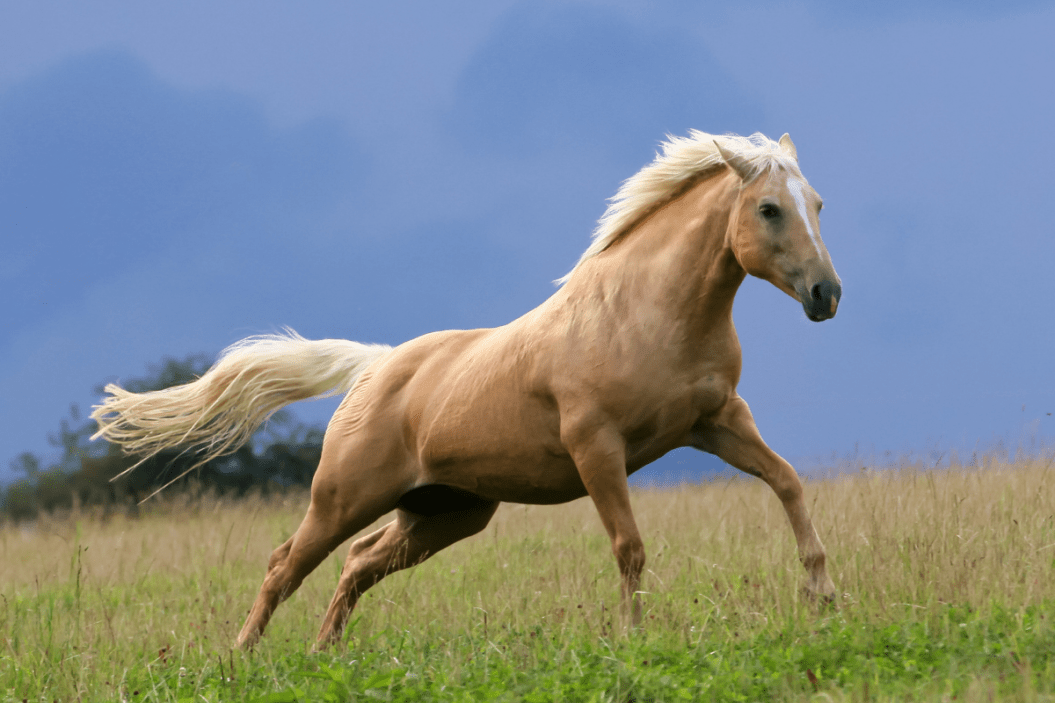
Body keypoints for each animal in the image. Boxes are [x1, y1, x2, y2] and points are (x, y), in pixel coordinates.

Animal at [92, 130, 841, 649]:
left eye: (817, 205)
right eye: (769, 209)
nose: (825, 295)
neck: (647, 313)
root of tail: (374, 368)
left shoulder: (717, 422)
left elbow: (787, 483)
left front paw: (823, 596)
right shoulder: (597, 447)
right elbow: (629, 545)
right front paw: (633, 638)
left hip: (445, 513)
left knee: (358, 564)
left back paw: (323, 652)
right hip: (343, 498)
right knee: (286, 564)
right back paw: (241, 655)